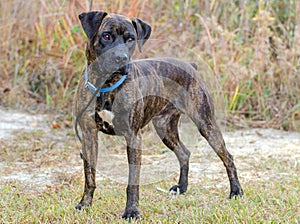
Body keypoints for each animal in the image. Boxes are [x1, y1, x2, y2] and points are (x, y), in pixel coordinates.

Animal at [73, 10, 244, 219]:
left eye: (131, 39)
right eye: (106, 36)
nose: (121, 58)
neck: (106, 85)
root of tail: (191, 65)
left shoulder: (133, 137)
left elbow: (133, 181)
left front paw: (132, 211)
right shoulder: (89, 135)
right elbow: (89, 176)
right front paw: (85, 204)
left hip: (206, 124)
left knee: (228, 157)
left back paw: (236, 191)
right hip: (165, 129)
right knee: (184, 153)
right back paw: (182, 187)